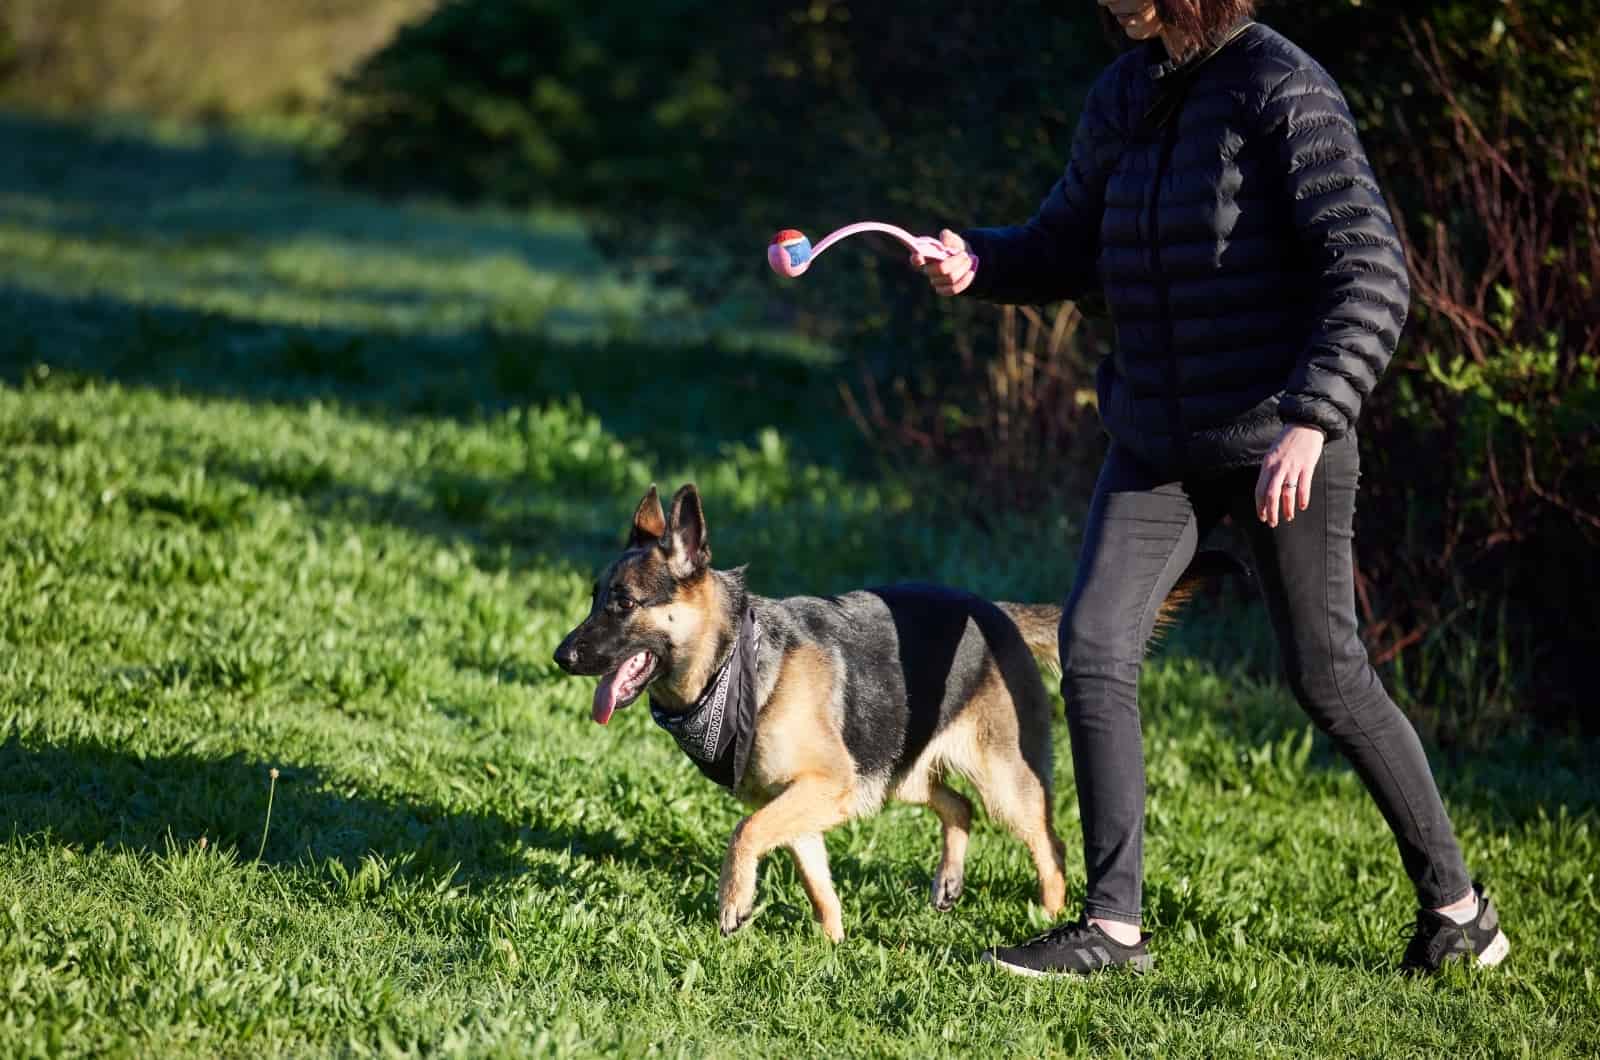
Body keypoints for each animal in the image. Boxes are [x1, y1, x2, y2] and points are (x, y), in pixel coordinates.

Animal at [556, 486, 1216, 941]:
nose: (561, 656)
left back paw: (1047, 919)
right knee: (959, 807)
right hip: (898, 775)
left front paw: (735, 902)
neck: (734, 662)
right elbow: (815, 879)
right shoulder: (808, 802)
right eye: (594, 598)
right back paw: (949, 881)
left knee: (1048, 846)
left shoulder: (825, 789)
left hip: (1004, 782)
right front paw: (833, 945)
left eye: (624, 604)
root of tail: (996, 612)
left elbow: (744, 834)